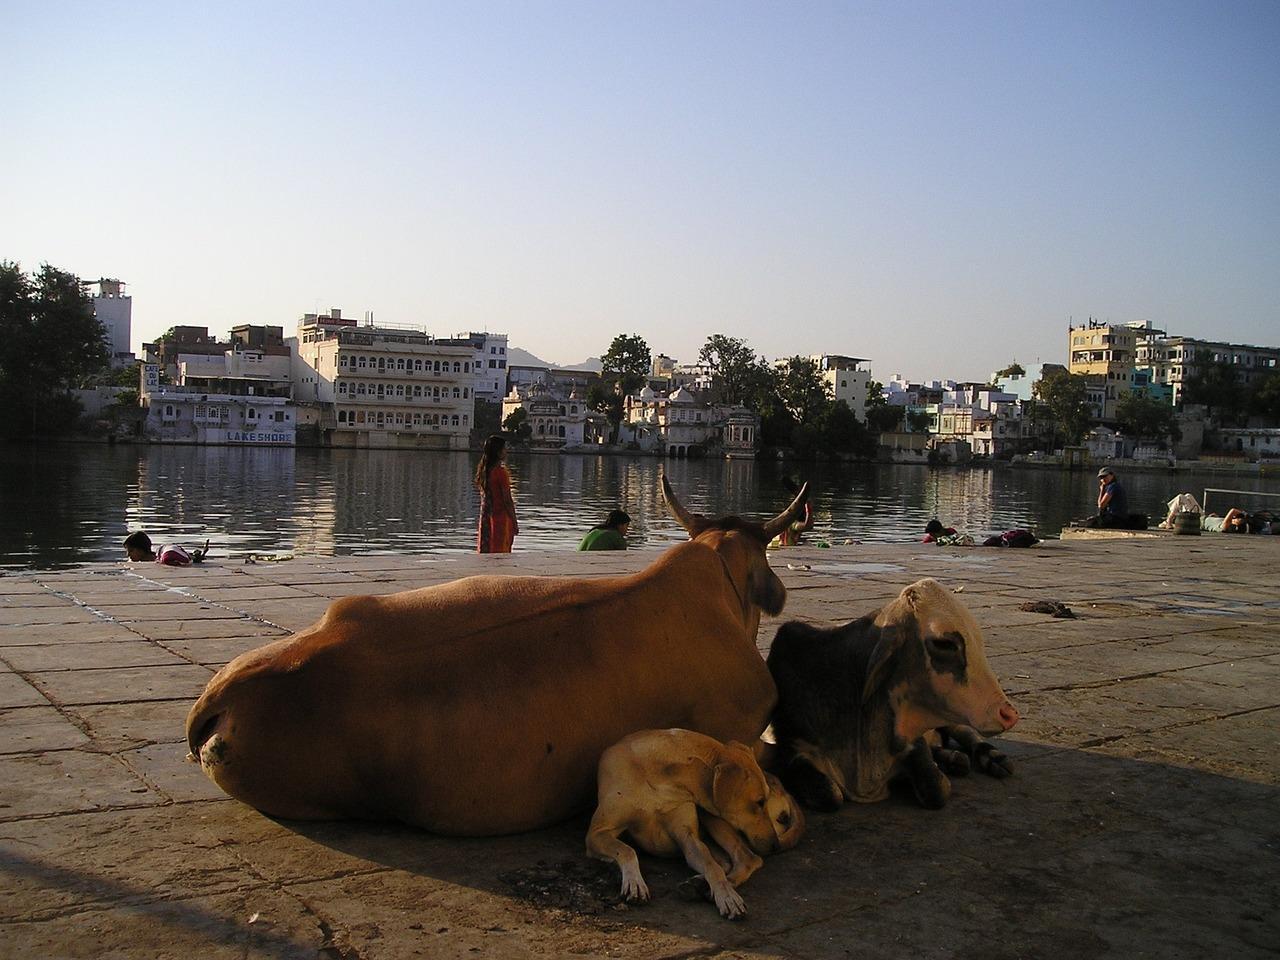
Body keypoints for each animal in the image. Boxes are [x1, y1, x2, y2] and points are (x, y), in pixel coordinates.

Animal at [586, 727, 803, 916]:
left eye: (765, 800)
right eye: (759, 802)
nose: (775, 846)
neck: (658, 777)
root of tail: (785, 789)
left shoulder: (687, 836)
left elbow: (712, 866)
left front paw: (727, 896)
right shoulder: (596, 833)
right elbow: (626, 850)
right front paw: (634, 882)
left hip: (713, 818)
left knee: (747, 858)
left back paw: (707, 887)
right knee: (730, 860)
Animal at [757, 578, 1018, 814]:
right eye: (945, 643)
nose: (1009, 714)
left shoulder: (913, 741)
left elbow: (937, 789)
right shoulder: (792, 749)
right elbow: (829, 795)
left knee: (968, 735)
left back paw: (992, 758)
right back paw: (954, 759)